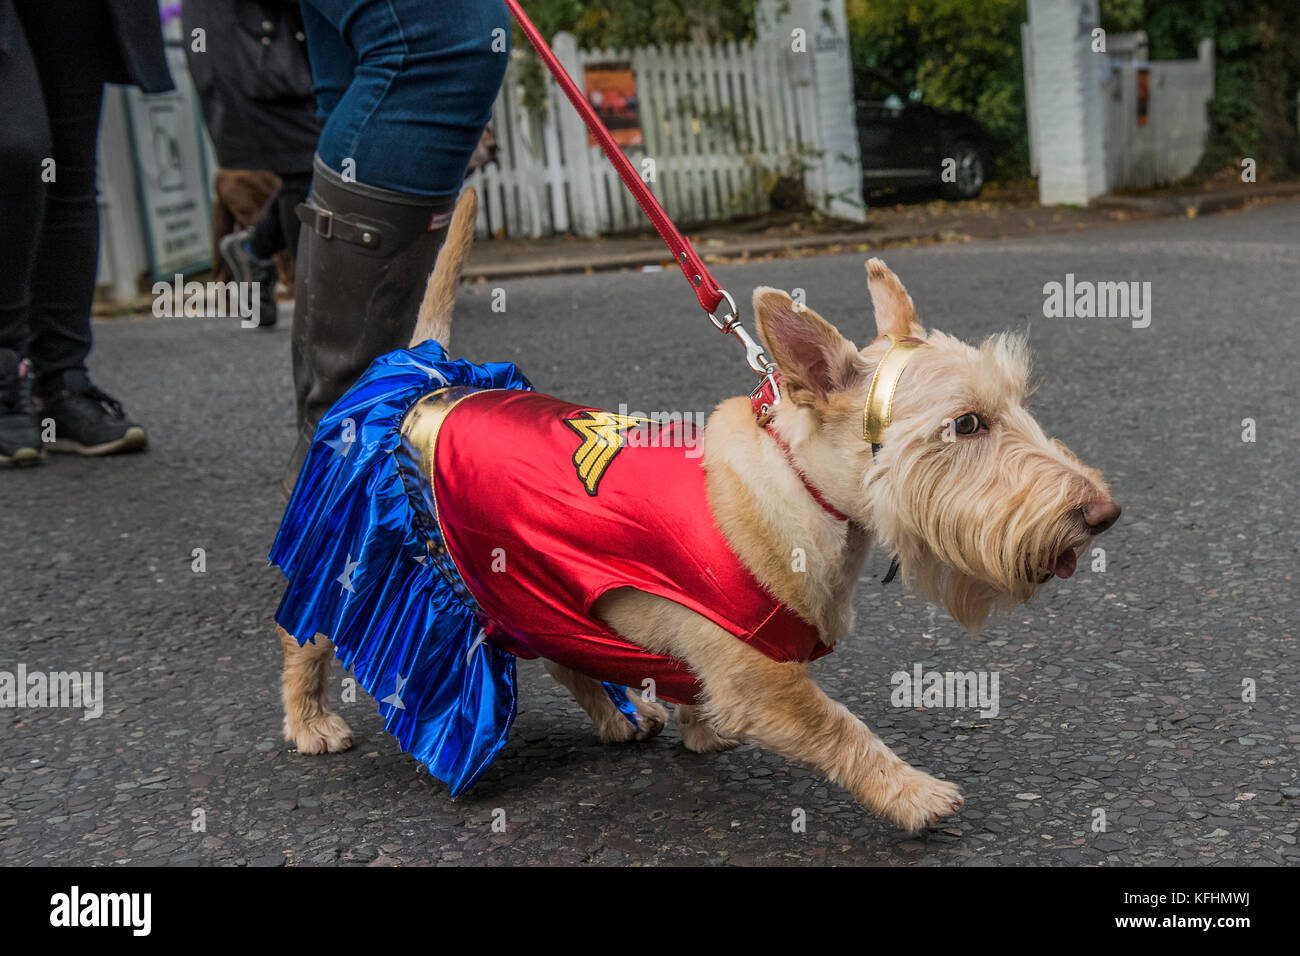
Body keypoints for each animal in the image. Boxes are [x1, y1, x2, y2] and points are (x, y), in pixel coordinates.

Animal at [282, 191, 1118, 832]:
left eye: (1020, 401)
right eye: (966, 424)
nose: (1103, 513)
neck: (799, 483)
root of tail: (426, 377)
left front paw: (694, 727)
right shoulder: (764, 683)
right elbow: (841, 727)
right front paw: (911, 795)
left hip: (518, 579)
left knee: (558, 650)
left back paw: (615, 716)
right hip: (355, 553)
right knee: (306, 635)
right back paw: (309, 720)